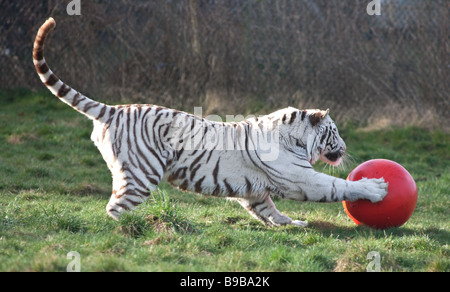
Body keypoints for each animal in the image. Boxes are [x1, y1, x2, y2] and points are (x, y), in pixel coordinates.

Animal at [33, 18, 388, 227]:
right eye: (334, 132)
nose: (345, 147)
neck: (294, 135)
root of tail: (115, 109)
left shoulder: (255, 192)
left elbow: (268, 210)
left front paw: (291, 224)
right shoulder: (303, 180)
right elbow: (339, 186)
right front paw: (375, 188)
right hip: (141, 175)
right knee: (113, 210)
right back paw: (125, 231)